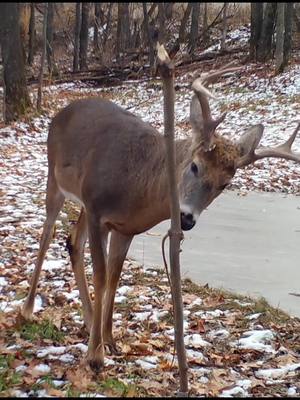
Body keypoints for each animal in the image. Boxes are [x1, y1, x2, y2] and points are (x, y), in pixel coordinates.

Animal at [21, 64, 300, 370]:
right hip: (55, 178)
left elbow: (115, 277)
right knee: (47, 234)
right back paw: (27, 309)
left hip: (81, 202)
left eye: (225, 184)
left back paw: (88, 317)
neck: (138, 183)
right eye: (195, 166)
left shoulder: (125, 228)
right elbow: (102, 275)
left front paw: (109, 340)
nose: (187, 218)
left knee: (72, 241)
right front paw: (95, 356)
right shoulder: (96, 209)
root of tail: (61, 112)